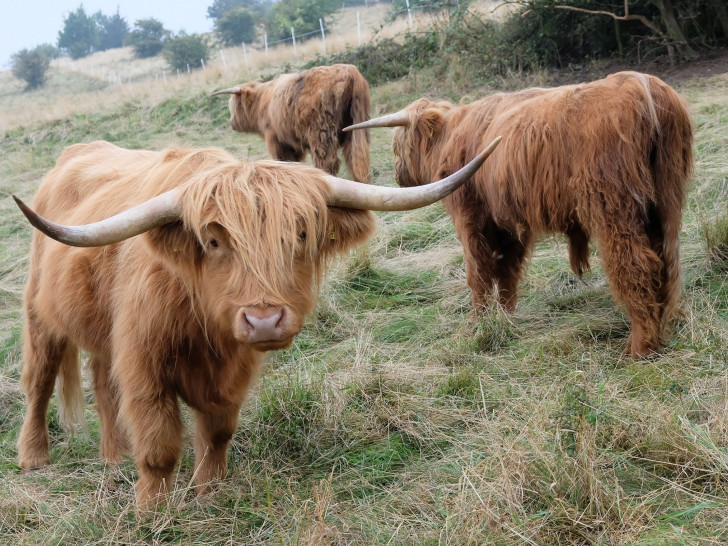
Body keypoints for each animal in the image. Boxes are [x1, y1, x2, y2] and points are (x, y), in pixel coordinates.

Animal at [210, 61, 370, 181]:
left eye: (234, 106)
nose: (232, 123)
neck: (262, 102)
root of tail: (350, 71)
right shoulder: (293, 144)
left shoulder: (276, 140)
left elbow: (283, 161)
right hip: (356, 128)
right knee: (357, 161)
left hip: (321, 134)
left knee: (328, 163)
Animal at [346, 69, 692, 356]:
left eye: (398, 144)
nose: (398, 174)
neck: (451, 136)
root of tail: (644, 87)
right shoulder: (509, 224)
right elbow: (507, 270)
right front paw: (505, 317)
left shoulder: (470, 217)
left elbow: (478, 272)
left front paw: (479, 323)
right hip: (666, 201)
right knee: (667, 259)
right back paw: (669, 321)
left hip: (612, 207)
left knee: (635, 264)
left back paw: (641, 347)